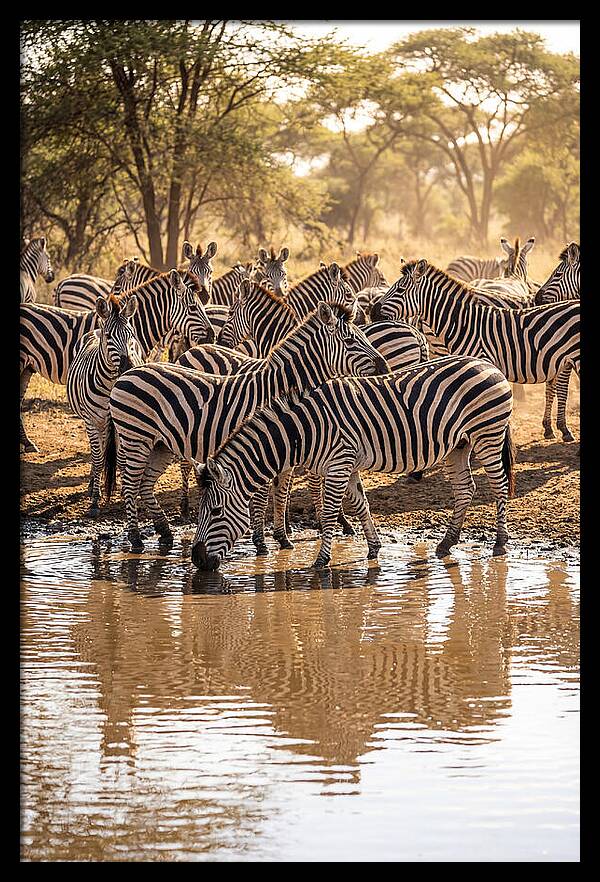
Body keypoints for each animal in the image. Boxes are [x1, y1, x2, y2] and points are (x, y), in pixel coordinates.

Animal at [66, 293, 144, 513]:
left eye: (132, 334)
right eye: (109, 336)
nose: (129, 368)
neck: (110, 385)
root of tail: (95, 330)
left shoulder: (123, 425)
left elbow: (122, 460)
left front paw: (126, 493)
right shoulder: (92, 421)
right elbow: (99, 458)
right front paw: (95, 499)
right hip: (93, 422)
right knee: (97, 453)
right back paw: (93, 484)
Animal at [104, 302, 389, 552]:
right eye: (350, 341)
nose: (385, 366)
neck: (279, 389)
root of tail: (126, 374)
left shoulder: (285, 448)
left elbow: (281, 493)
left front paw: (283, 538)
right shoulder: (264, 445)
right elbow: (262, 497)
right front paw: (261, 542)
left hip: (161, 445)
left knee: (144, 485)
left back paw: (164, 533)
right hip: (136, 439)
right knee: (130, 485)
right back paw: (136, 539)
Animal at [189, 354, 516, 570]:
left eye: (215, 511)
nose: (197, 559)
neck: (305, 428)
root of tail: (489, 365)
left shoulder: (339, 464)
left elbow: (330, 514)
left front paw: (321, 561)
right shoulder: (347, 465)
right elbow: (361, 505)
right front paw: (373, 548)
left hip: (487, 434)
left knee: (499, 486)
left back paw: (500, 542)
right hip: (458, 445)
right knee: (465, 490)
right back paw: (447, 542)